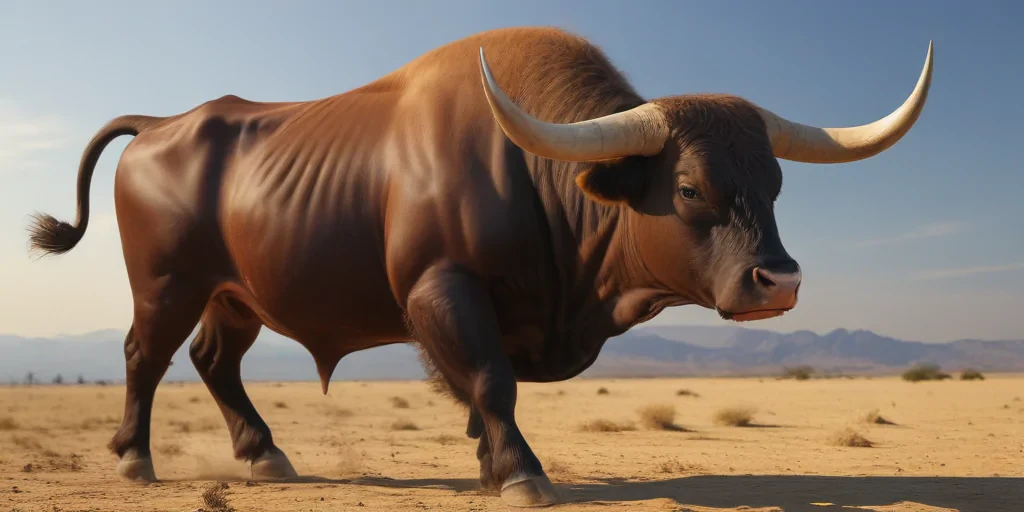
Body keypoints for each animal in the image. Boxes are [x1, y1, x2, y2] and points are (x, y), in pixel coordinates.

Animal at [27, 27, 932, 507]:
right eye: (689, 187)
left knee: (215, 362)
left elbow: (476, 391)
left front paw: (488, 459)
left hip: (234, 297)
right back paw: (135, 459)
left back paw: (264, 455)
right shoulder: (442, 289)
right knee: (144, 357)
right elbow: (492, 382)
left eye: (775, 183)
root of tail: (164, 123)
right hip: (167, 286)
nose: (780, 282)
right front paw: (521, 471)